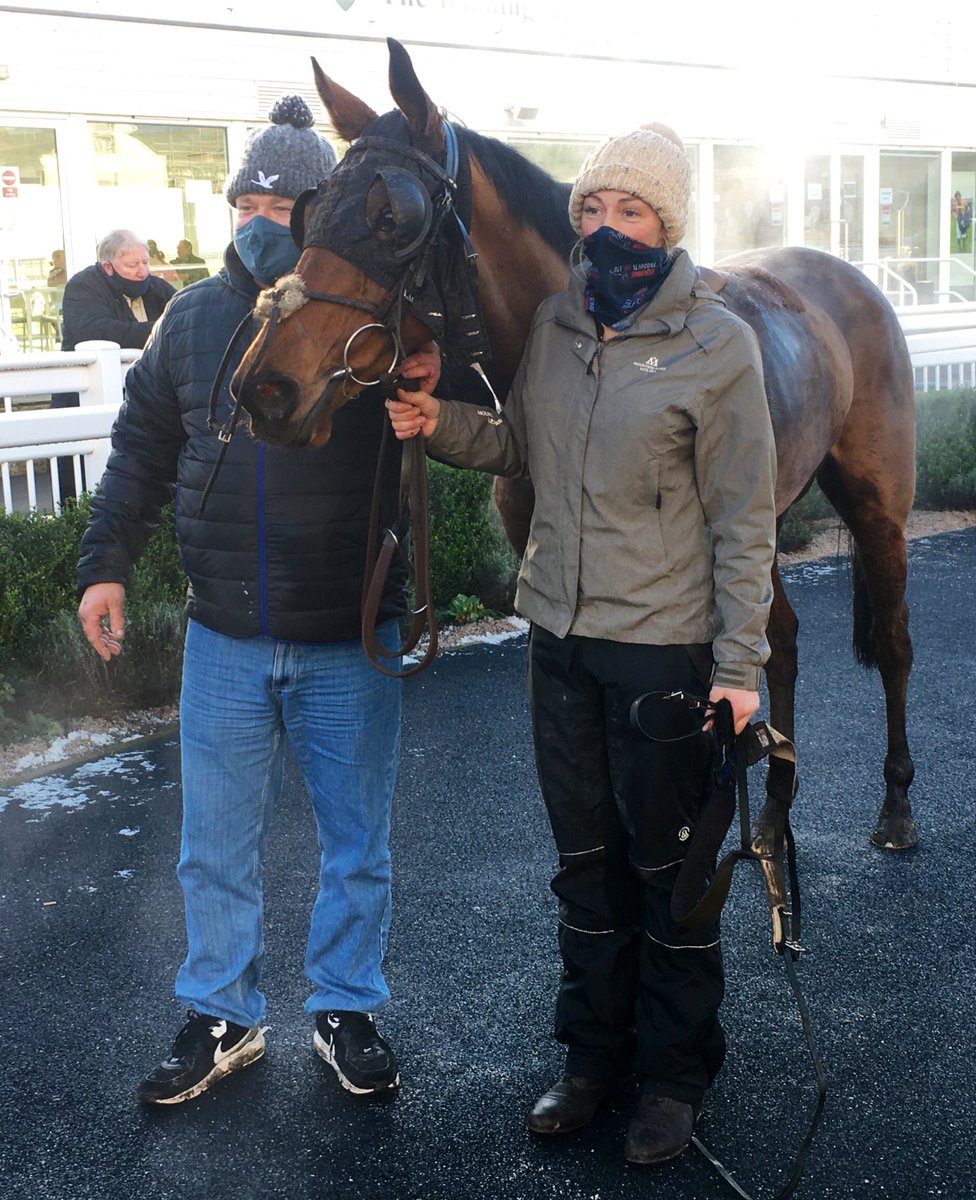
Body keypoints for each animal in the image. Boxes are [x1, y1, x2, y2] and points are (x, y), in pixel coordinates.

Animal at [231, 37, 917, 854]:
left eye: (392, 213)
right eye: (311, 212)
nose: (264, 388)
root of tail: (854, 278)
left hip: (876, 507)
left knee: (893, 643)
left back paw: (895, 805)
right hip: (761, 519)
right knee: (776, 640)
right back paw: (773, 814)